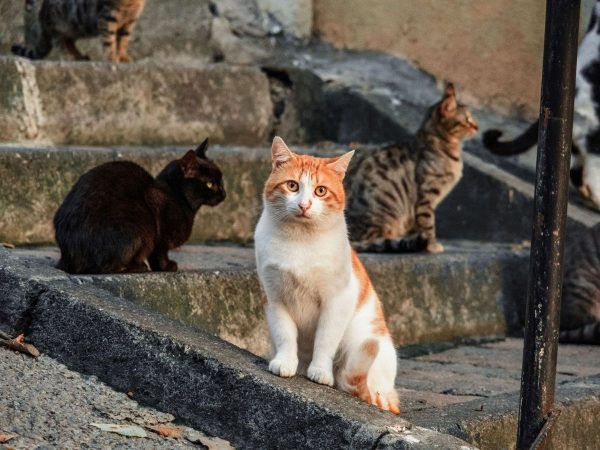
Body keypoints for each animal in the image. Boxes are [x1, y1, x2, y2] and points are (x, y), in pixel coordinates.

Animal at [11, 0, 145, 62]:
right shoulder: (107, 17)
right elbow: (110, 42)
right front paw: (112, 58)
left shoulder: (129, 22)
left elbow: (122, 42)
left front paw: (123, 56)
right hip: (58, 26)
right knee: (60, 43)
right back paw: (68, 56)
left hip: (75, 28)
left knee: (69, 42)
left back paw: (79, 56)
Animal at [54, 139, 225, 274]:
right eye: (210, 184)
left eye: (221, 180)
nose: (224, 193)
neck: (175, 196)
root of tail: (68, 258)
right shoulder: (159, 233)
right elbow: (160, 253)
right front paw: (166, 267)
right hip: (140, 227)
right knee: (105, 268)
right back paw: (139, 267)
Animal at [253, 135, 398, 414]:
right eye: (292, 186)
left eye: (320, 191)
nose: (304, 204)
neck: (300, 240)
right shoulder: (274, 297)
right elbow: (285, 334)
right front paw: (285, 363)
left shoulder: (337, 300)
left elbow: (325, 340)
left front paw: (320, 372)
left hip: (364, 341)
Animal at [342, 84, 478, 253]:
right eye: (467, 120)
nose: (477, 127)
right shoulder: (426, 196)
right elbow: (428, 223)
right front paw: (432, 244)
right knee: (372, 239)